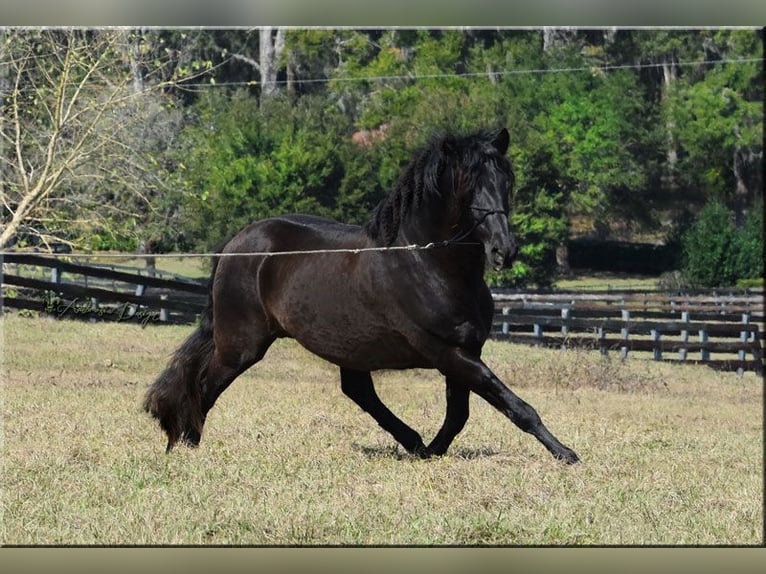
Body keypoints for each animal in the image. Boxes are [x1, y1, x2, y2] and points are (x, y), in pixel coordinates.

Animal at [144, 128, 580, 466]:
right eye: (468, 184)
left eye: (506, 182)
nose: (504, 251)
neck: (429, 263)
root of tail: (237, 245)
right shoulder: (447, 352)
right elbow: (514, 406)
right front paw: (566, 453)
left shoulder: (464, 350)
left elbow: (459, 414)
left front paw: (432, 451)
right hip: (242, 345)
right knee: (204, 384)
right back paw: (188, 444)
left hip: (346, 346)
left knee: (358, 392)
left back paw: (412, 442)